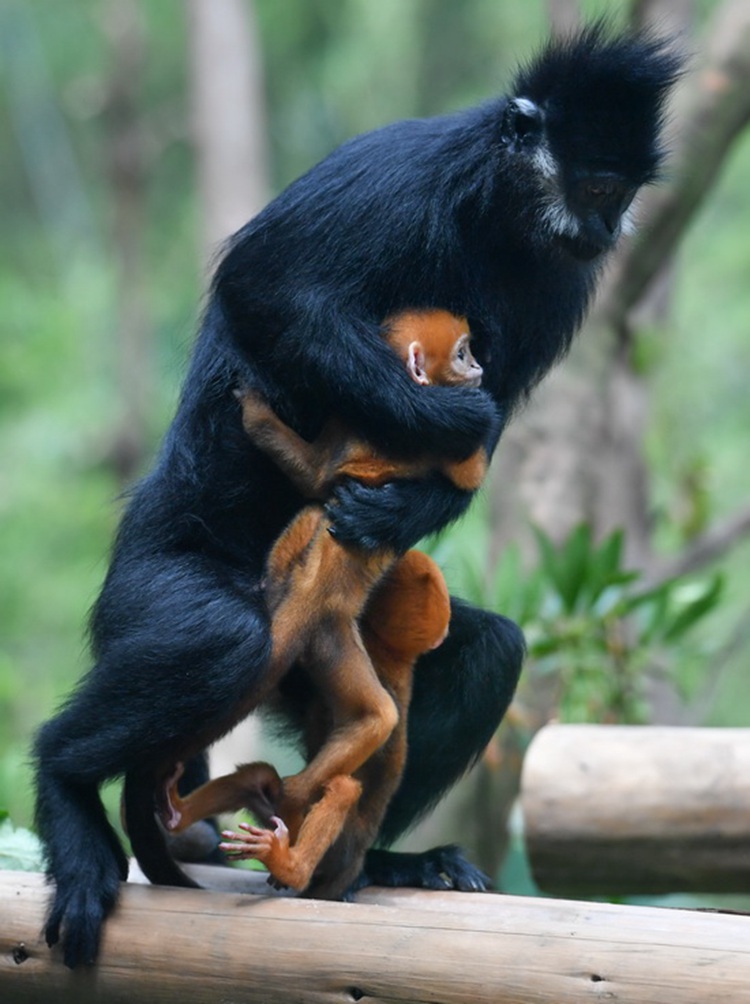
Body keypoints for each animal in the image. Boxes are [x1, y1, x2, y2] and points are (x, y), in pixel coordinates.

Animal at [160, 311, 487, 895]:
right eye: (462, 353)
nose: (480, 369)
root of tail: (302, 609)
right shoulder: (444, 436)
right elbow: (466, 468)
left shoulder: (353, 425)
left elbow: (315, 475)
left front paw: (253, 410)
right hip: (331, 639)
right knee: (373, 721)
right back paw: (289, 822)